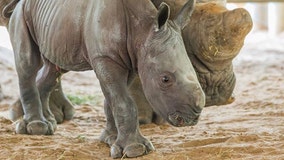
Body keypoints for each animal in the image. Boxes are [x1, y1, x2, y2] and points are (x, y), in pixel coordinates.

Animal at [3, 0, 205, 158]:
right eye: (165, 79)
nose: (195, 115)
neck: (142, 29)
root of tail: (19, 3)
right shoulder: (105, 57)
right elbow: (123, 102)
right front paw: (135, 150)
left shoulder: (131, 60)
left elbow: (112, 100)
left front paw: (110, 139)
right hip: (22, 15)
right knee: (28, 63)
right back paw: (36, 127)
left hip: (56, 23)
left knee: (54, 70)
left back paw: (48, 124)